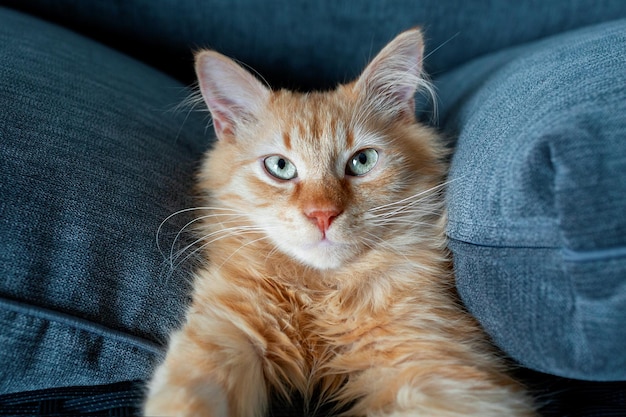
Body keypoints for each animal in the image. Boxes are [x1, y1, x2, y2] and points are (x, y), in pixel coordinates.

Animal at [144, 29, 532, 416]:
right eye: (280, 167)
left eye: (363, 161)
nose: (322, 214)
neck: (323, 293)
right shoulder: (228, 327)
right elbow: (190, 393)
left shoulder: (433, 362)